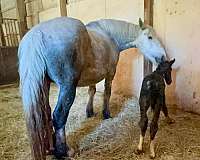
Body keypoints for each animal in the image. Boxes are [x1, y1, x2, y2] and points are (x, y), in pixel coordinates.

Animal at [18, 16, 166, 159]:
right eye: (150, 37)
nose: (163, 56)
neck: (109, 35)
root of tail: (37, 35)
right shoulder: (110, 74)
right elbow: (107, 93)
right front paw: (106, 114)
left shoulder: (93, 77)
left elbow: (92, 91)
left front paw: (89, 112)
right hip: (67, 87)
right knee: (59, 115)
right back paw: (64, 151)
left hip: (45, 85)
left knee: (46, 113)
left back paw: (50, 148)